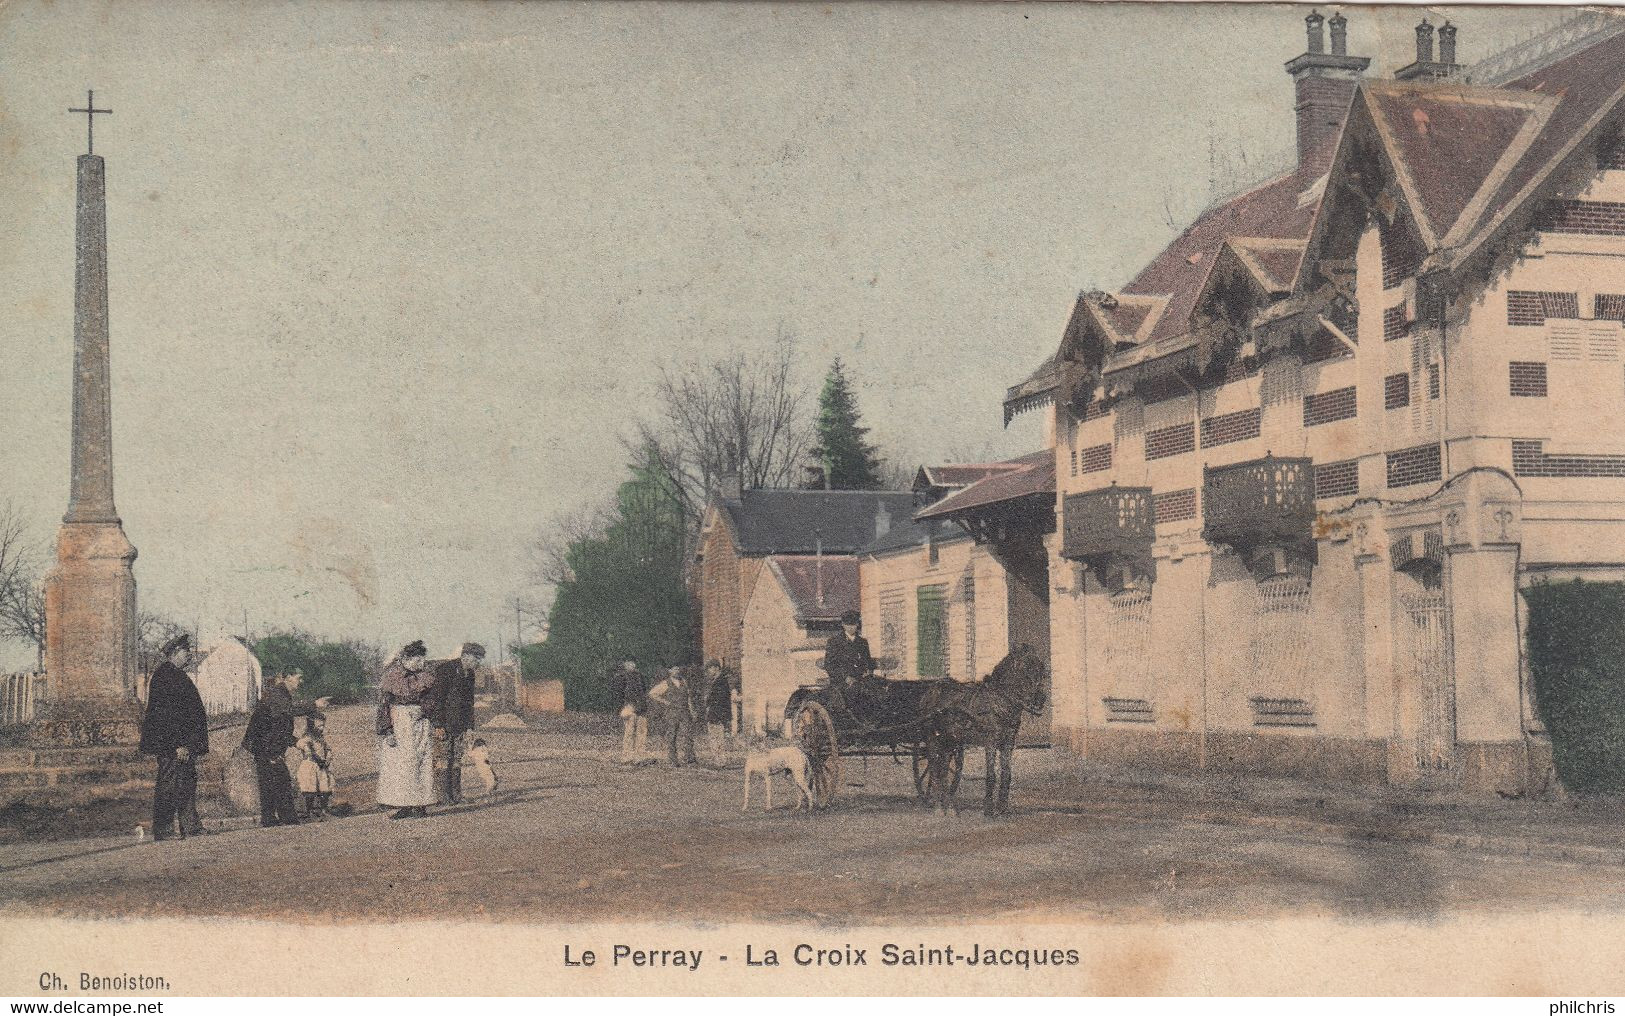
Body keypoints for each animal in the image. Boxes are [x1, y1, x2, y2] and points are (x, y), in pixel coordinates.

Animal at [923, 646, 1046, 819]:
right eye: (1025, 668)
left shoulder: (1008, 743)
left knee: (944, 772)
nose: (1041, 699)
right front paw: (988, 808)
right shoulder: (991, 742)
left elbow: (1007, 774)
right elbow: (991, 775)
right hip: (933, 740)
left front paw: (1003, 808)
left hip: (949, 742)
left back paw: (948, 807)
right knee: (934, 770)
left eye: (1041, 669)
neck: (1000, 701)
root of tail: (931, 690)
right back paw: (937, 807)